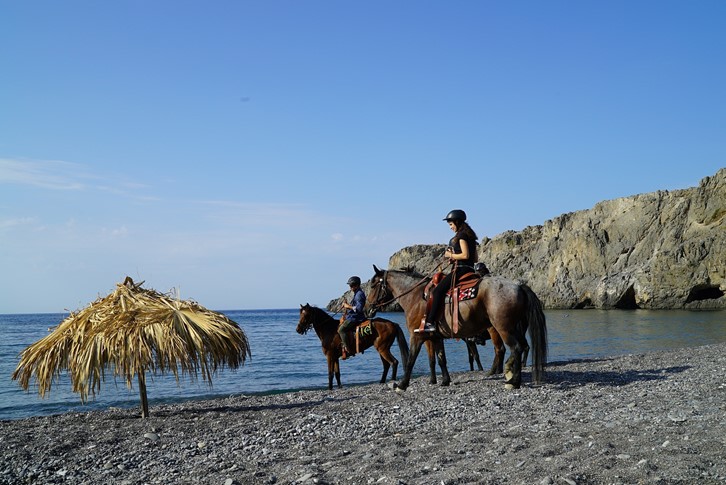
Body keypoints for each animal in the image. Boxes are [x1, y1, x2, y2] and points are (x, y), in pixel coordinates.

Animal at [370, 264, 544, 390]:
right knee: (521, 347)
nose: (368, 308)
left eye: (372, 285)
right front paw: (445, 381)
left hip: (503, 329)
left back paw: (513, 381)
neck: (416, 297)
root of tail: (518, 286)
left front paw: (402, 384)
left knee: (513, 348)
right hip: (514, 328)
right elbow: (441, 359)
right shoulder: (436, 337)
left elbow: (411, 360)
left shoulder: (417, 336)